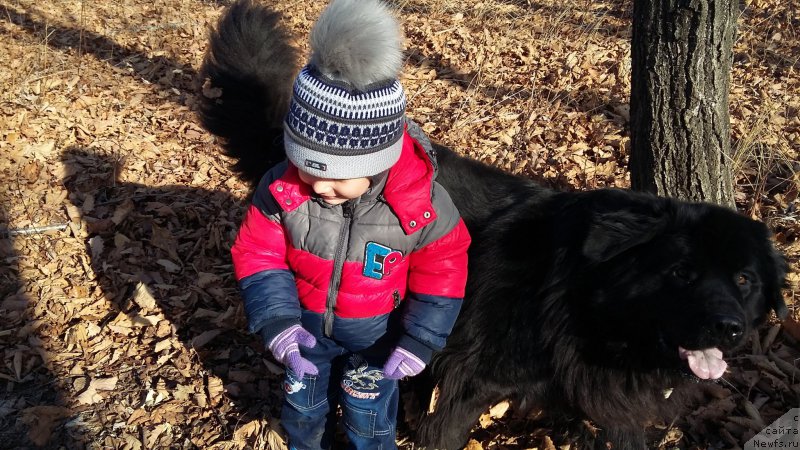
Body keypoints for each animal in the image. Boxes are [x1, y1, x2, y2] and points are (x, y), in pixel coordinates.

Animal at [195, 1, 788, 448]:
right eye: (682, 273)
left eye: (744, 280)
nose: (732, 329)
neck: (578, 298)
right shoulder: (469, 377)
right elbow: (446, 428)